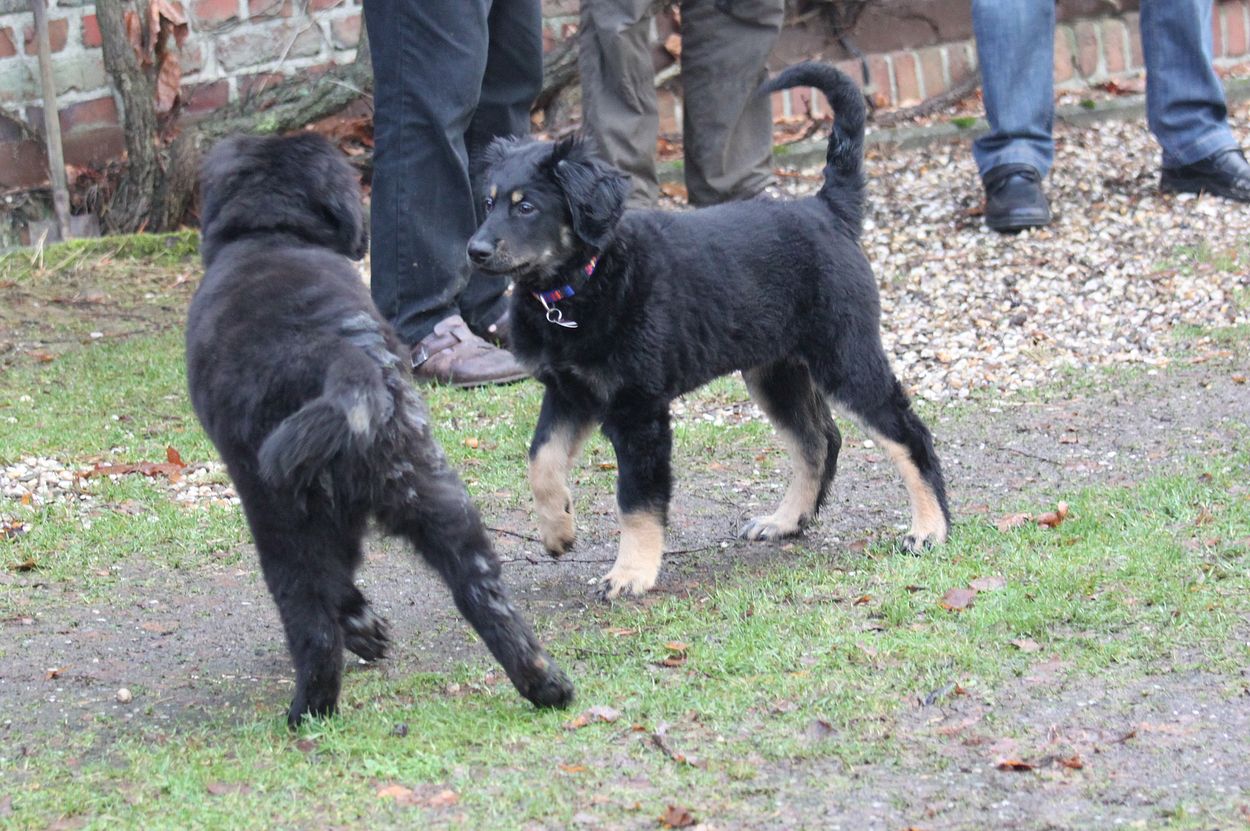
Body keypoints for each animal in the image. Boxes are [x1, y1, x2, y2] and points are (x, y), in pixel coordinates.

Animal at [186, 132, 573, 726]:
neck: (268, 234)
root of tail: (336, 359)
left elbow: (336, 587)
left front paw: (363, 629)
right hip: (432, 494)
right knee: (481, 592)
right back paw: (544, 683)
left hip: (279, 516)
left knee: (310, 621)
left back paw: (308, 710)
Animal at [467, 63, 950, 600]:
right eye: (488, 202)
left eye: (525, 207)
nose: (475, 250)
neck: (579, 286)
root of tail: (827, 208)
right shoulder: (570, 392)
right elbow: (541, 459)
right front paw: (558, 530)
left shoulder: (638, 409)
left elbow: (636, 500)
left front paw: (630, 573)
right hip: (776, 371)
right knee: (818, 441)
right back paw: (786, 520)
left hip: (845, 355)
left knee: (907, 434)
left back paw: (929, 528)